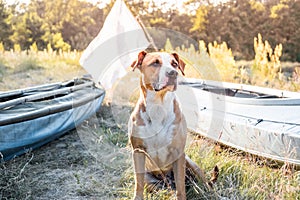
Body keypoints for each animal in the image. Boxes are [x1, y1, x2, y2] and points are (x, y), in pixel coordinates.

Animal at [128, 50, 218, 199]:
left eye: (174, 64)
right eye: (155, 63)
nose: (173, 73)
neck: (158, 106)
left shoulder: (178, 153)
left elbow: (181, 187)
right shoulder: (138, 151)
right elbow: (138, 183)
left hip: (190, 163)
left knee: (202, 182)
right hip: (151, 179)